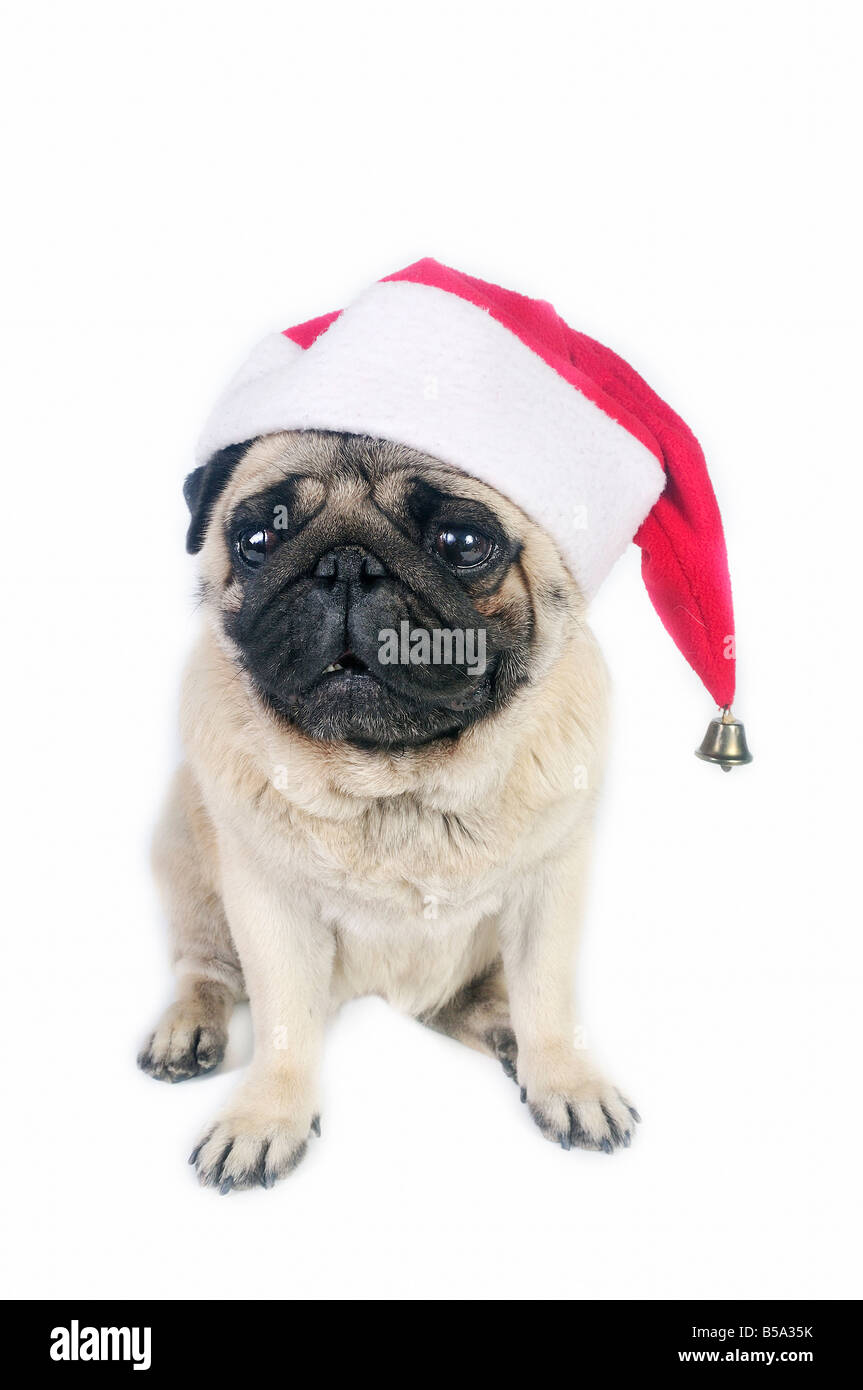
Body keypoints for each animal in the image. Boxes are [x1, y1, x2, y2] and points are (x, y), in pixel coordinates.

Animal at [139, 428, 639, 1189]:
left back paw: (503, 1029)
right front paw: (265, 1118)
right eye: (257, 538)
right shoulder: (269, 906)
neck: (395, 783)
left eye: (462, 542)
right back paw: (187, 1028)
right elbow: (282, 1024)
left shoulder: (549, 890)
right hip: (185, 855)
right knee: (206, 971)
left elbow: (548, 998)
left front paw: (566, 1081)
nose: (346, 564)